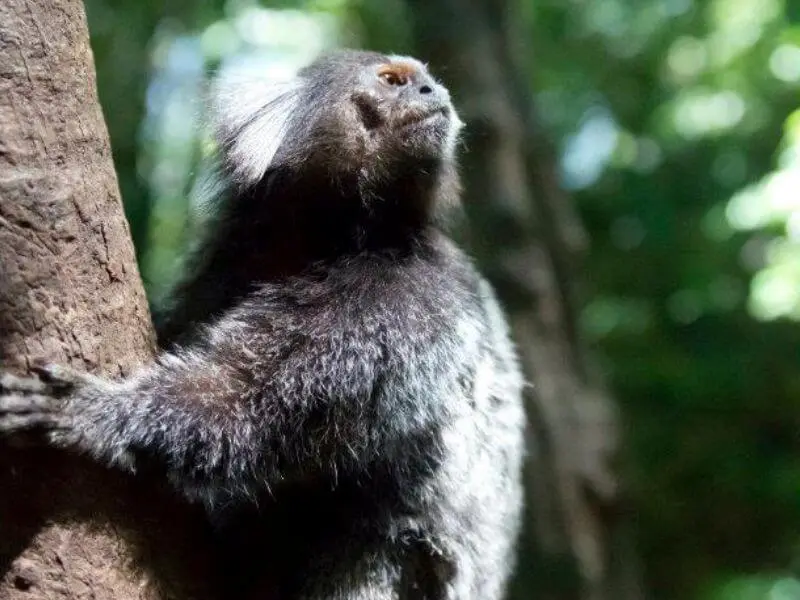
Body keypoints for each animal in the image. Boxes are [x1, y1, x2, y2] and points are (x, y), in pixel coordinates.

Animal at [0, 50, 525, 599]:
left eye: (426, 81)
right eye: (393, 80)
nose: (433, 92)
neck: (329, 236)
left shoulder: (408, 295)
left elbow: (261, 402)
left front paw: (97, 414)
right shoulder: (224, 264)